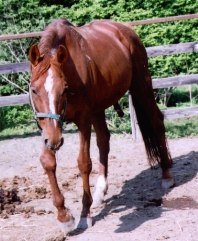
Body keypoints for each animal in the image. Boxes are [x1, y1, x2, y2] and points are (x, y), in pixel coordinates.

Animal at [27, 19, 173, 233]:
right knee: (104, 140)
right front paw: (64, 216)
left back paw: (167, 175)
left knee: (156, 121)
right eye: (34, 90)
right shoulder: (49, 127)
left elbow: (84, 163)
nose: (54, 140)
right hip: (99, 108)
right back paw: (100, 192)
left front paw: (84, 214)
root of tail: (125, 30)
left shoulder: (83, 120)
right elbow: (48, 161)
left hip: (141, 85)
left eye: (64, 89)